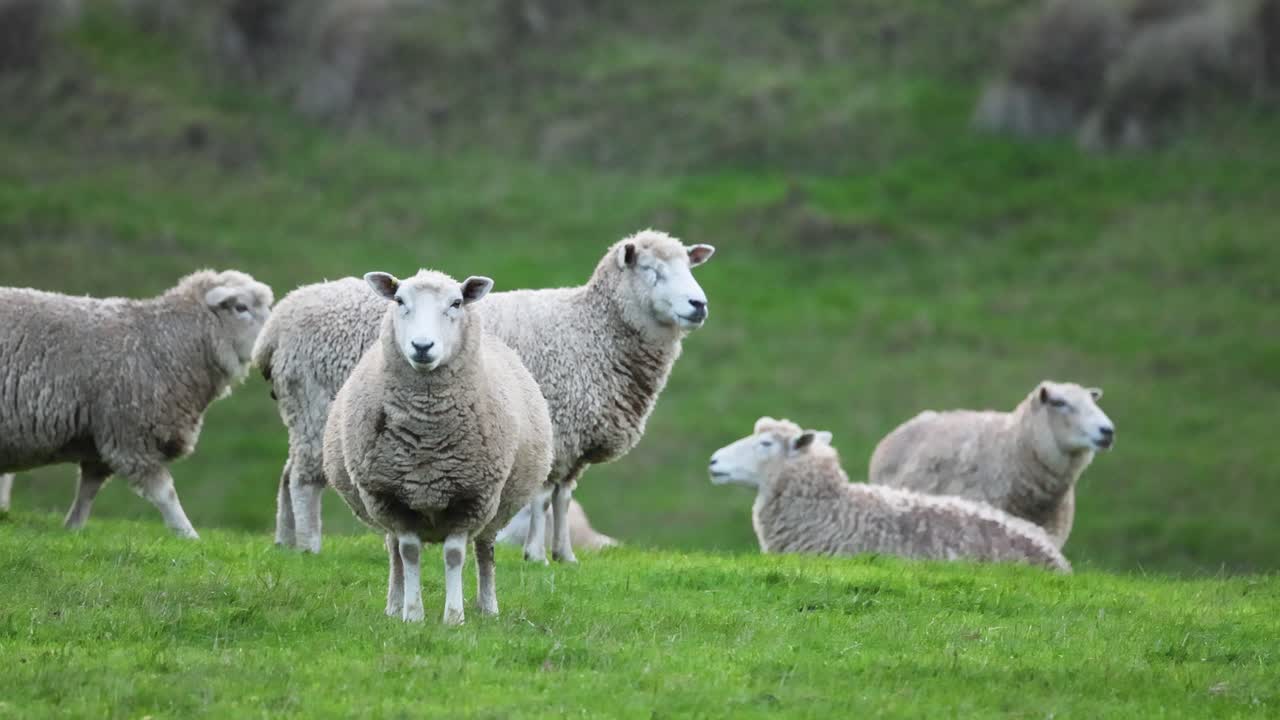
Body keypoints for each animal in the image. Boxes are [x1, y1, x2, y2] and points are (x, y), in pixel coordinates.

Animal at [0, 270, 274, 537]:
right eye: (240, 307)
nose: (271, 341)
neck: (166, 344)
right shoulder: (132, 436)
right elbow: (166, 494)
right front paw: (190, 536)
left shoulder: (100, 439)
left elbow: (88, 491)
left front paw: (72, 529)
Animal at [257, 229, 715, 560]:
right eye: (652, 270)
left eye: (689, 266)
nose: (699, 304)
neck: (591, 328)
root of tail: (277, 324)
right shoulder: (553, 423)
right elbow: (543, 498)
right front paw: (536, 555)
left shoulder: (571, 439)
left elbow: (564, 498)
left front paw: (565, 555)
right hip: (316, 406)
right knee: (303, 480)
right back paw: (310, 546)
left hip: (305, 415)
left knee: (286, 473)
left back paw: (285, 542)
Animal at [322, 269, 552, 624]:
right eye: (399, 300)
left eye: (456, 303)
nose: (422, 346)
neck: (427, 437)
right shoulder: (391, 498)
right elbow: (408, 552)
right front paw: (413, 614)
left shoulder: (471, 497)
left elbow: (455, 555)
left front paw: (454, 616)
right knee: (394, 554)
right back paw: (394, 604)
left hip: (495, 508)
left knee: (484, 551)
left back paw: (488, 607)